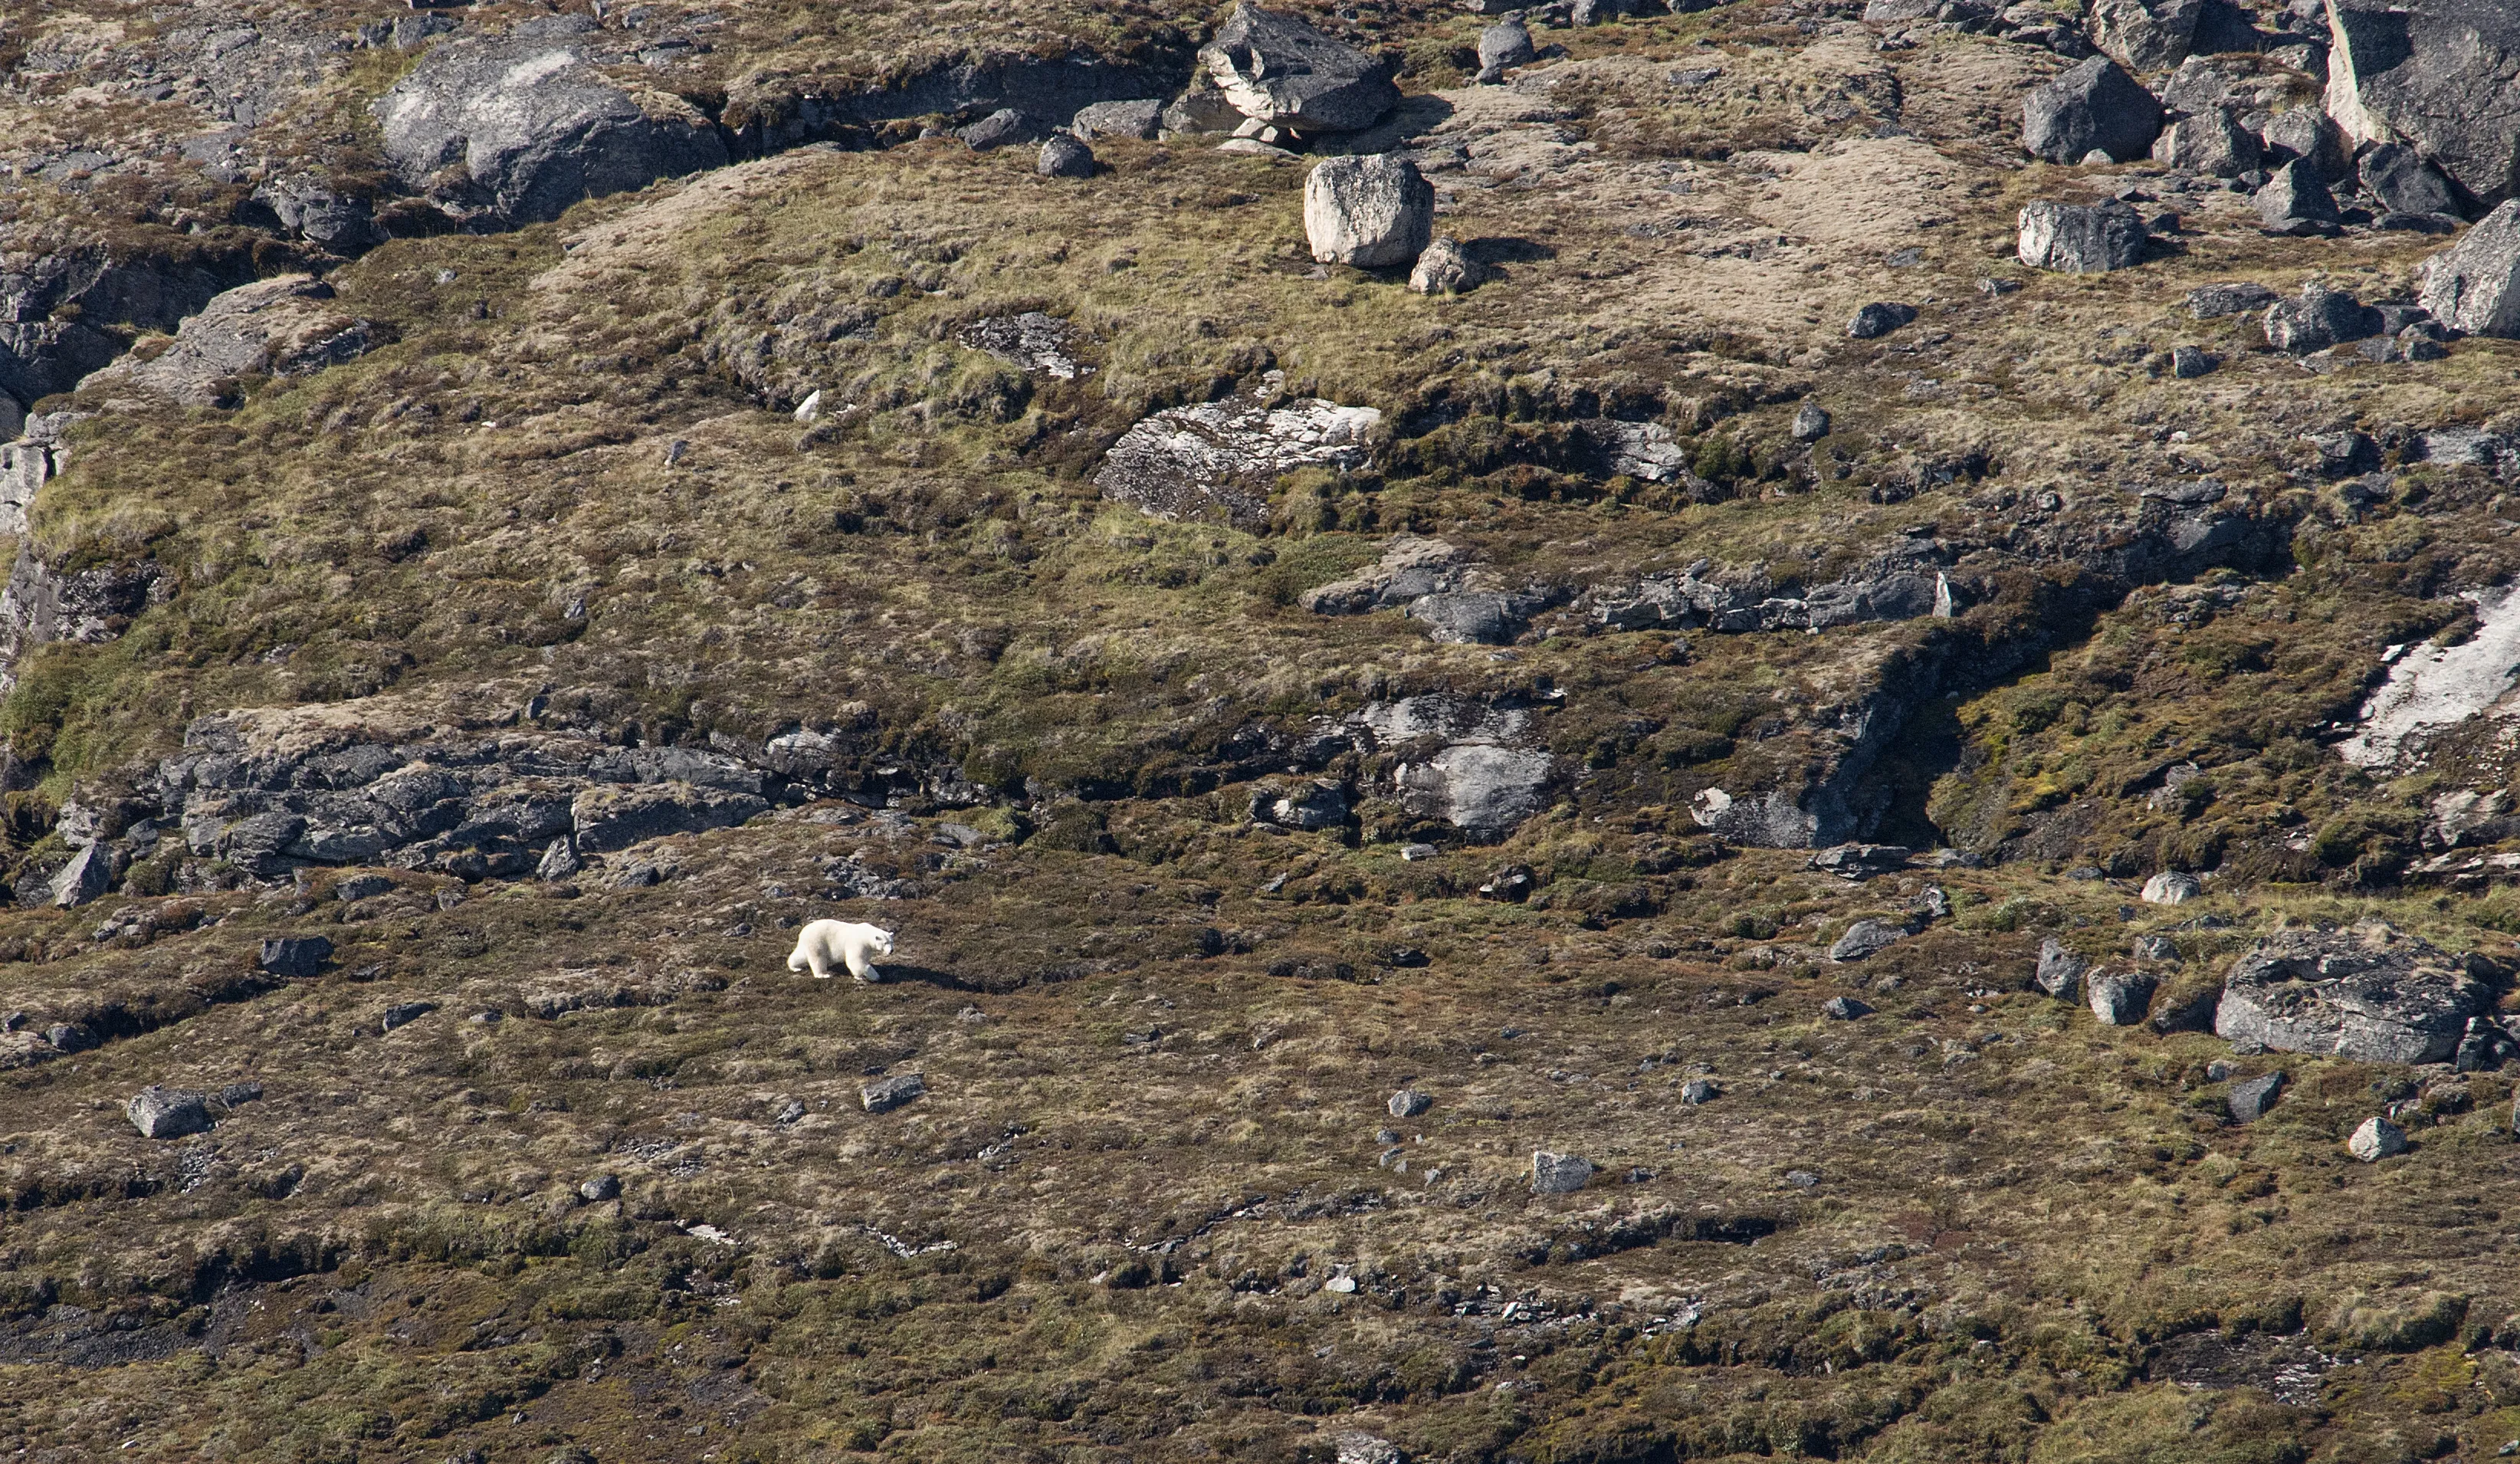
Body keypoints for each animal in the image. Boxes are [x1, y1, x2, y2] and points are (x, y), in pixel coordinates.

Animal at [788, 919, 894, 982]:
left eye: (892, 941)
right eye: (885, 943)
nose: (891, 951)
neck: (866, 935)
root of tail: (803, 932)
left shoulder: (867, 949)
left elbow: (863, 960)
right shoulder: (858, 943)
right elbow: (855, 960)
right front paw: (875, 976)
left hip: (808, 944)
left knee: (800, 955)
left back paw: (795, 967)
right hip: (817, 941)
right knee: (818, 959)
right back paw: (823, 974)